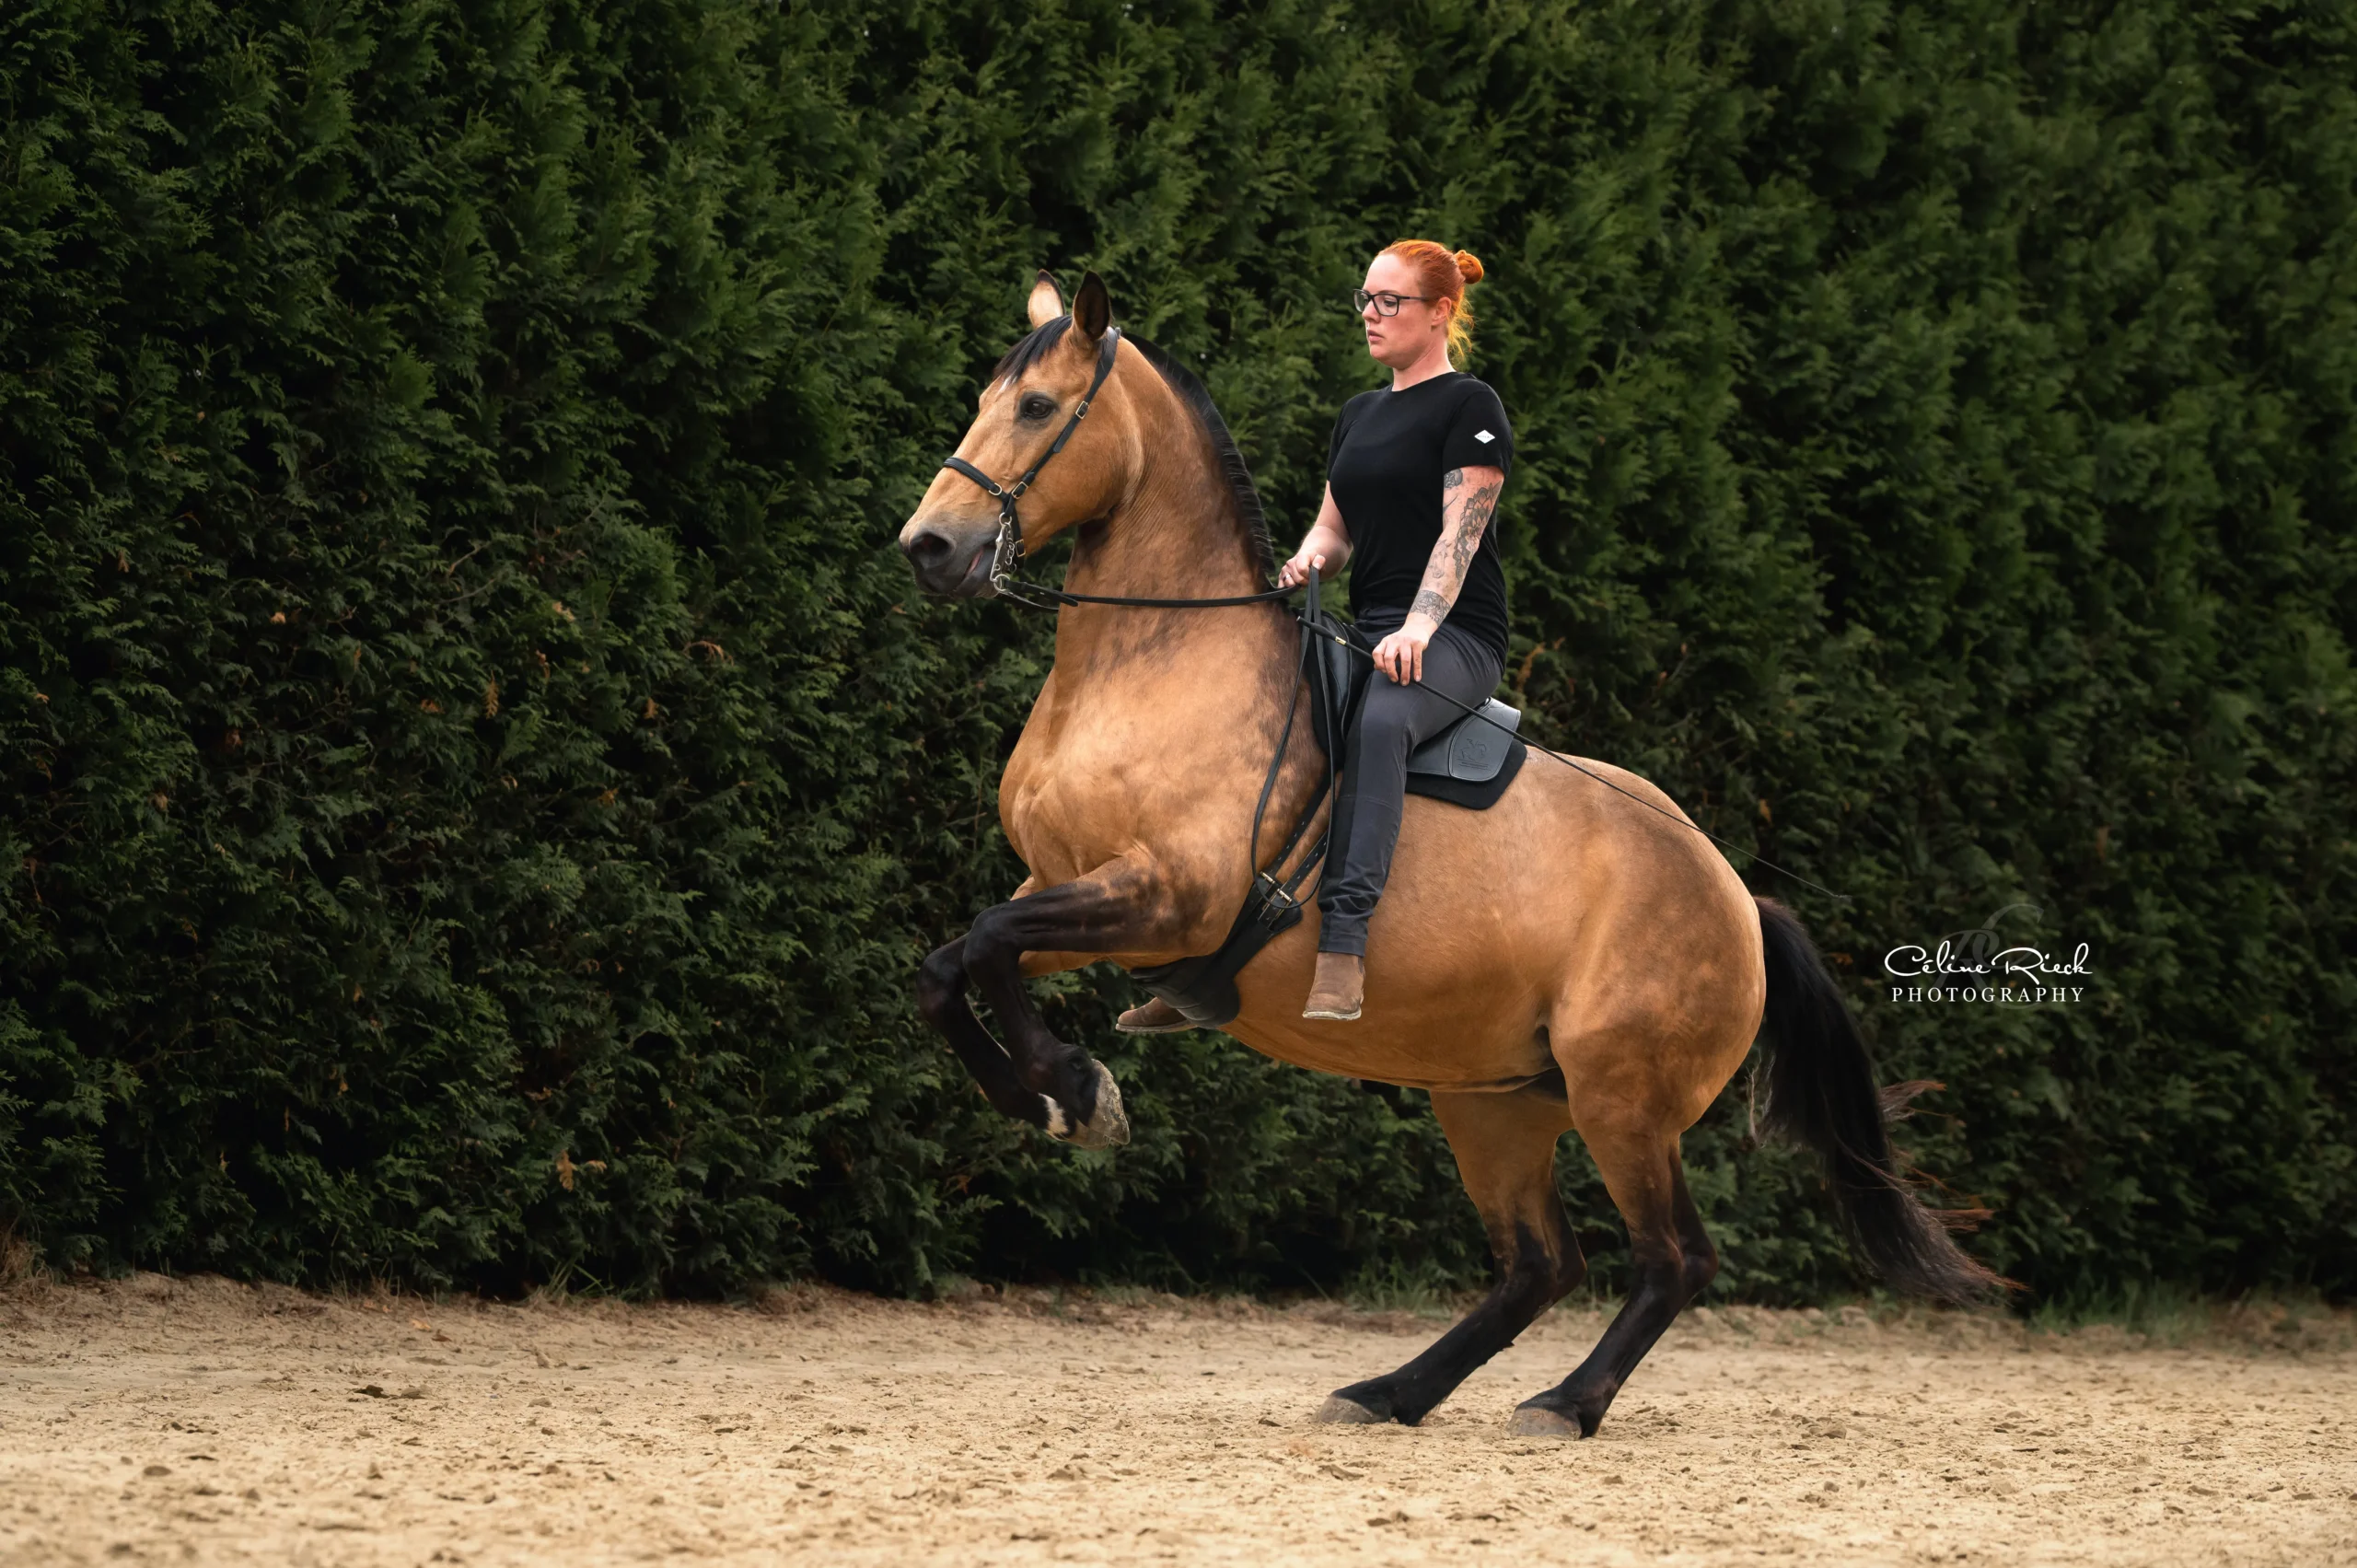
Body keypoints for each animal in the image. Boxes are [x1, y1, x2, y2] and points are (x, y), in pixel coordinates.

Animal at [896, 269, 2000, 1437]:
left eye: (1037, 407)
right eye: (985, 396)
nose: (929, 546)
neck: (1154, 659)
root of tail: (1739, 899)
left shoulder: (1168, 897)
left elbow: (989, 940)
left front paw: (1076, 1090)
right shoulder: (1084, 895)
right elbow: (952, 964)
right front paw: (1050, 1095)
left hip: (1621, 1098)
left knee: (1673, 1258)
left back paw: (1562, 1402)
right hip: (1494, 1099)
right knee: (1538, 1264)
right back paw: (1388, 1390)